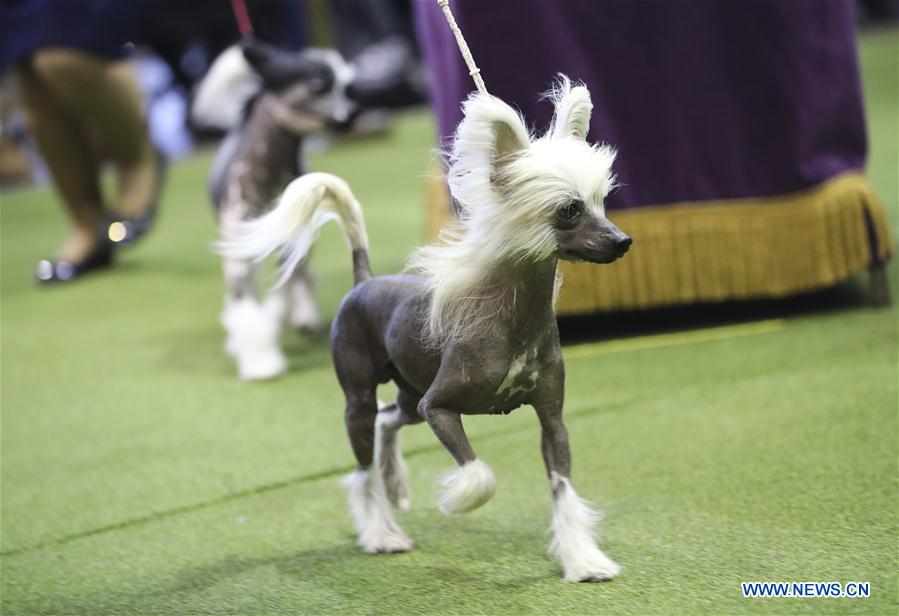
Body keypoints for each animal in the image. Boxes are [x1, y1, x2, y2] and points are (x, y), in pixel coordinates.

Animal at [220, 78, 632, 584]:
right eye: (570, 210)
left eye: (601, 202)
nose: (623, 242)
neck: (515, 320)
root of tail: (364, 280)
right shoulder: (437, 406)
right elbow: (479, 475)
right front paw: (456, 499)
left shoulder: (551, 421)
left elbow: (563, 490)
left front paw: (584, 561)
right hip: (361, 399)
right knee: (363, 464)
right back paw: (382, 533)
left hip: (408, 392)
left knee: (387, 420)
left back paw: (395, 482)